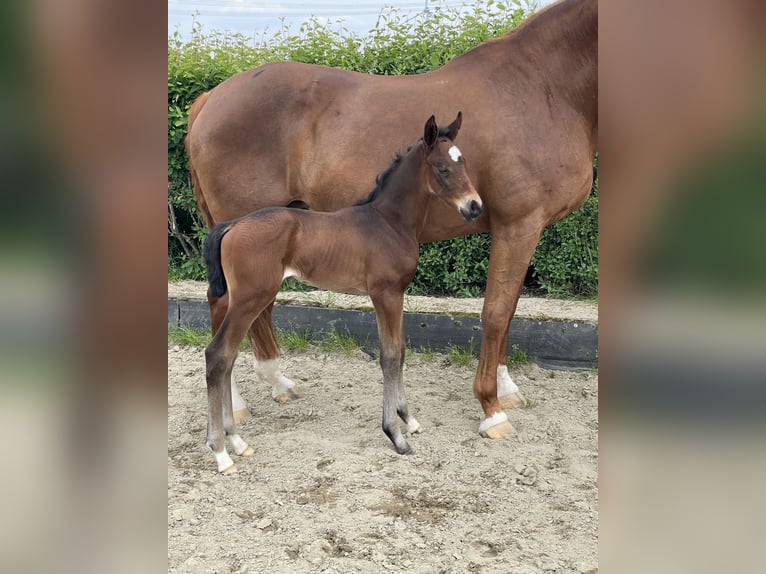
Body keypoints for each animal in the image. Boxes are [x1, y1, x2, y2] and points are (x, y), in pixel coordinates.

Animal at [201, 115, 484, 474]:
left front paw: (408, 419)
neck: (389, 222)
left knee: (229, 357)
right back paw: (222, 453)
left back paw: (237, 442)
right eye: (442, 168)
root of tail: (233, 225)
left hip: (245, 300)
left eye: (465, 163)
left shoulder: (397, 294)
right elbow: (390, 355)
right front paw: (396, 435)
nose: (475, 206)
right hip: (250, 299)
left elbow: (402, 351)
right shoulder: (385, 294)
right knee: (218, 355)